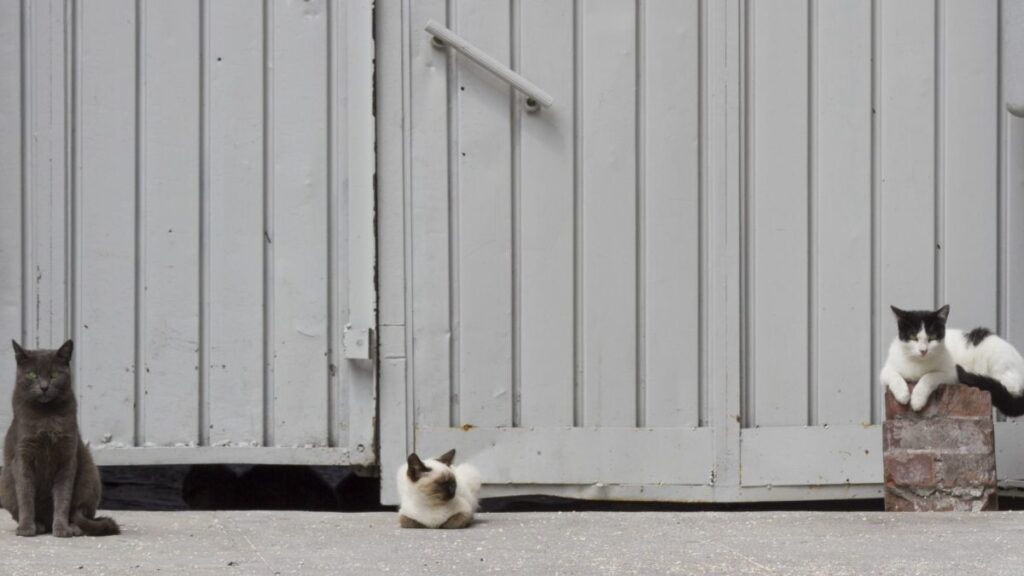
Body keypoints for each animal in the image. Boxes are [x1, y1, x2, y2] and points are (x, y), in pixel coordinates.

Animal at [0, 338, 118, 537]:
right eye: (32, 374)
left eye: (54, 374)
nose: (44, 387)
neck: (47, 417)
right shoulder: (22, 455)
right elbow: (25, 495)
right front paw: (26, 528)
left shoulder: (67, 456)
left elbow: (63, 497)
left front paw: (62, 529)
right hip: (6, 486)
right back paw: (38, 525)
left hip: (90, 478)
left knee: (80, 512)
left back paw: (74, 527)